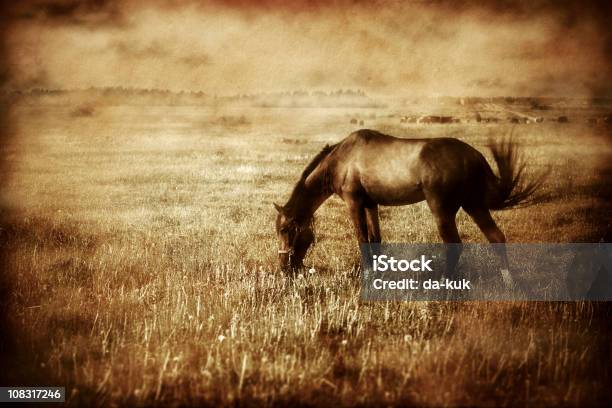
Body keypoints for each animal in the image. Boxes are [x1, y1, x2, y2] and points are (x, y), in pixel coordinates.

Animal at [274, 129, 544, 286]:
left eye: (285, 230)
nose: (285, 268)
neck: (342, 158)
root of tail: (474, 156)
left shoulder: (355, 203)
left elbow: (362, 238)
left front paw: (368, 275)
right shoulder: (371, 204)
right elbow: (375, 239)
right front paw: (378, 275)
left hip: (442, 209)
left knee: (454, 244)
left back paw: (443, 284)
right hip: (474, 205)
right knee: (496, 237)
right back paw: (509, 284)